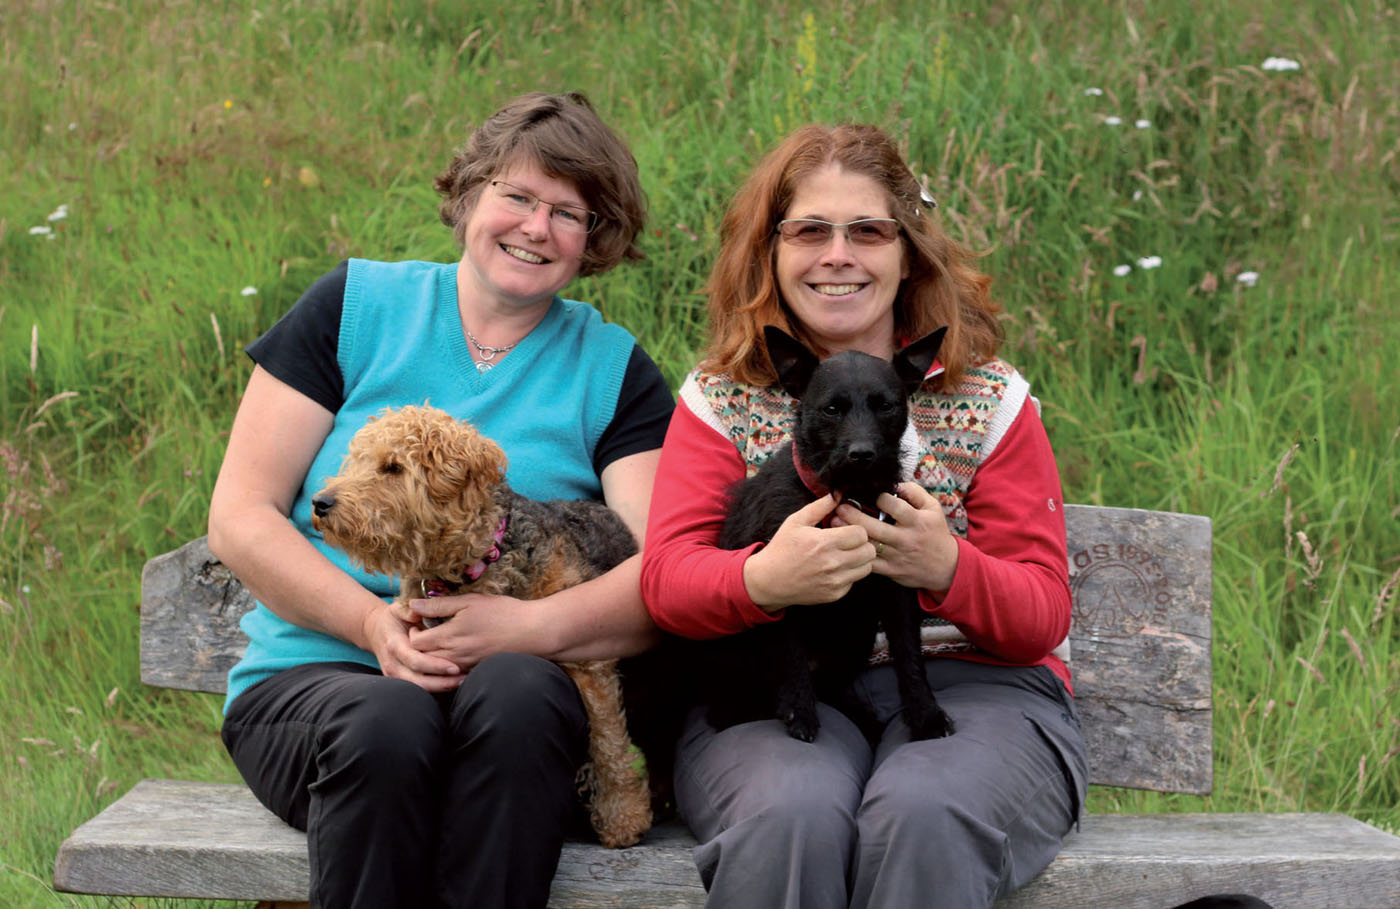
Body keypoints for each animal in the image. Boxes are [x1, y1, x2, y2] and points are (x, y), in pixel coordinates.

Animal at [312, 400, 649, 845]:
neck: (469, 566)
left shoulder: (590, 668)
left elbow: (609, 744)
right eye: (359, 459)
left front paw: (622, 818)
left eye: (393, 467)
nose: (320, 503)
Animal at [705, 326, 957, 745]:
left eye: (886, 406)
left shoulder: (898, 591)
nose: (862, 453)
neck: (850, 496)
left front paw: (926, 715)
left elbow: (910, 657)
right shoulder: (782, 587)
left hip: (854, 638)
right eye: (832, 409)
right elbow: (790, 658)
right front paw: (800, 713)